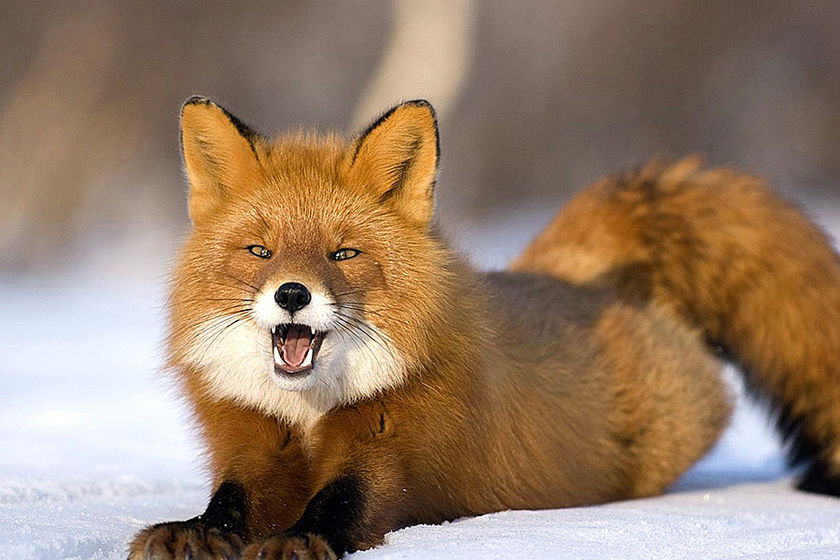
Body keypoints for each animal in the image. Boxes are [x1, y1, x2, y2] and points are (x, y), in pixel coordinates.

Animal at [129, 97, 840, 560]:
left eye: (344, 253)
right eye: (261, 252)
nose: (293, 294)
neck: (307, 411)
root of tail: (574, 275)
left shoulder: (395, 449)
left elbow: (345, 504)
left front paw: (298, 540)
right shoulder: (252, 443)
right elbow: (231, 502)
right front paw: (195, 532)